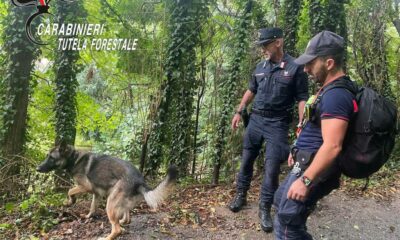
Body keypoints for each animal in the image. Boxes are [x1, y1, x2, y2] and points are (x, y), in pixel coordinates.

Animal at [36, 143, 177, 239]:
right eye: (47, 156)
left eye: (51, 158)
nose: (37, 168)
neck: (74, 158)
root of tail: (140, 181)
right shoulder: (96, 193)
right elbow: (92, 207)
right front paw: (87, 216)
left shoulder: (85, 186)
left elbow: (70, 190)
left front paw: (70, 202)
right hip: (118, 202)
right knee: (126, 218)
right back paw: (122, 221)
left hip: (110, 203)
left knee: (117, 229)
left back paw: (107, 237)